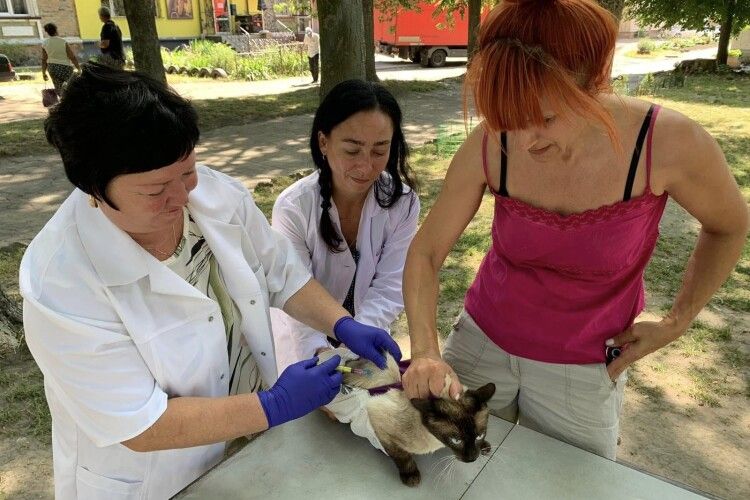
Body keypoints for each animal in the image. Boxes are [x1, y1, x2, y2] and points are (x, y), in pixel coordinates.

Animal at [340, 354, 494, 486]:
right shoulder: (380, 424)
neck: (435, 440)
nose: (472, 459)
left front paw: (484, 446)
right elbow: (402, 456)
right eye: (456, 441)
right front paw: (411, 476)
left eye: (479, 436)